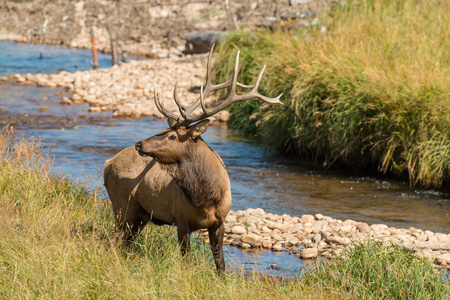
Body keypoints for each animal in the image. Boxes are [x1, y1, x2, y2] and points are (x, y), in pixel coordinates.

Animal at [103, 46, 284, 272]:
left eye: (172, 136)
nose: (139, 144)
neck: (207, 197)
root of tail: (107, 164)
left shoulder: (219, 221)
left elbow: (220, 263)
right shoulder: (181, 220)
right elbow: (186, 261)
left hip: (141, 213)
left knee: (125, 241)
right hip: (123, 205)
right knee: (115, 240)